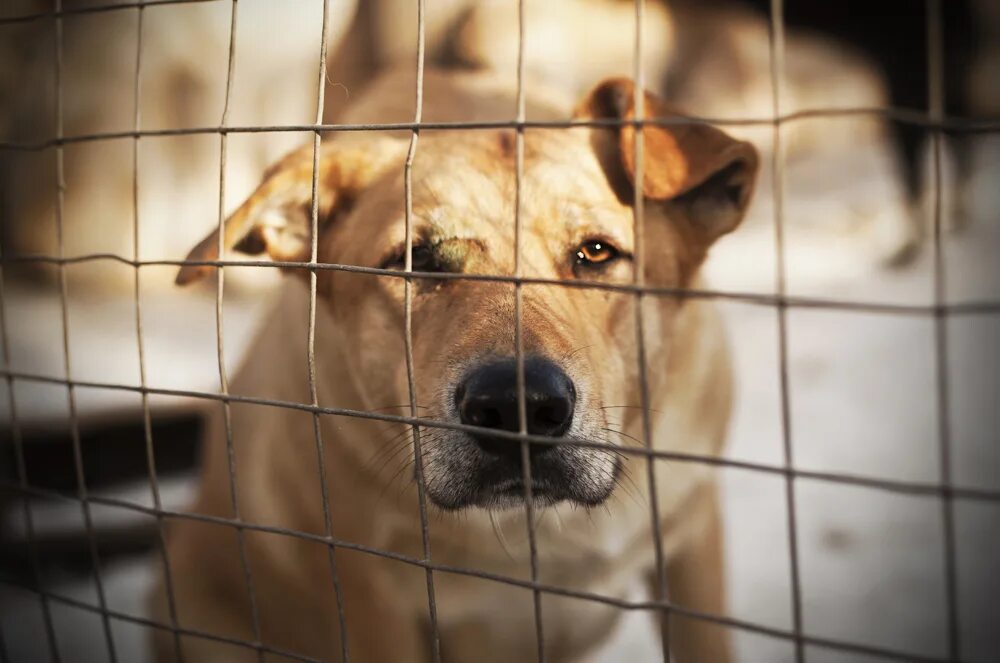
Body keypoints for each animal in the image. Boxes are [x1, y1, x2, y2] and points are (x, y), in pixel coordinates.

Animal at [150, 68, 756, 663]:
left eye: (597, 252)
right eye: (415, 260)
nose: (517, 407)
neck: (536, 528)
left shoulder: (692, 539)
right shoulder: (374, 603)